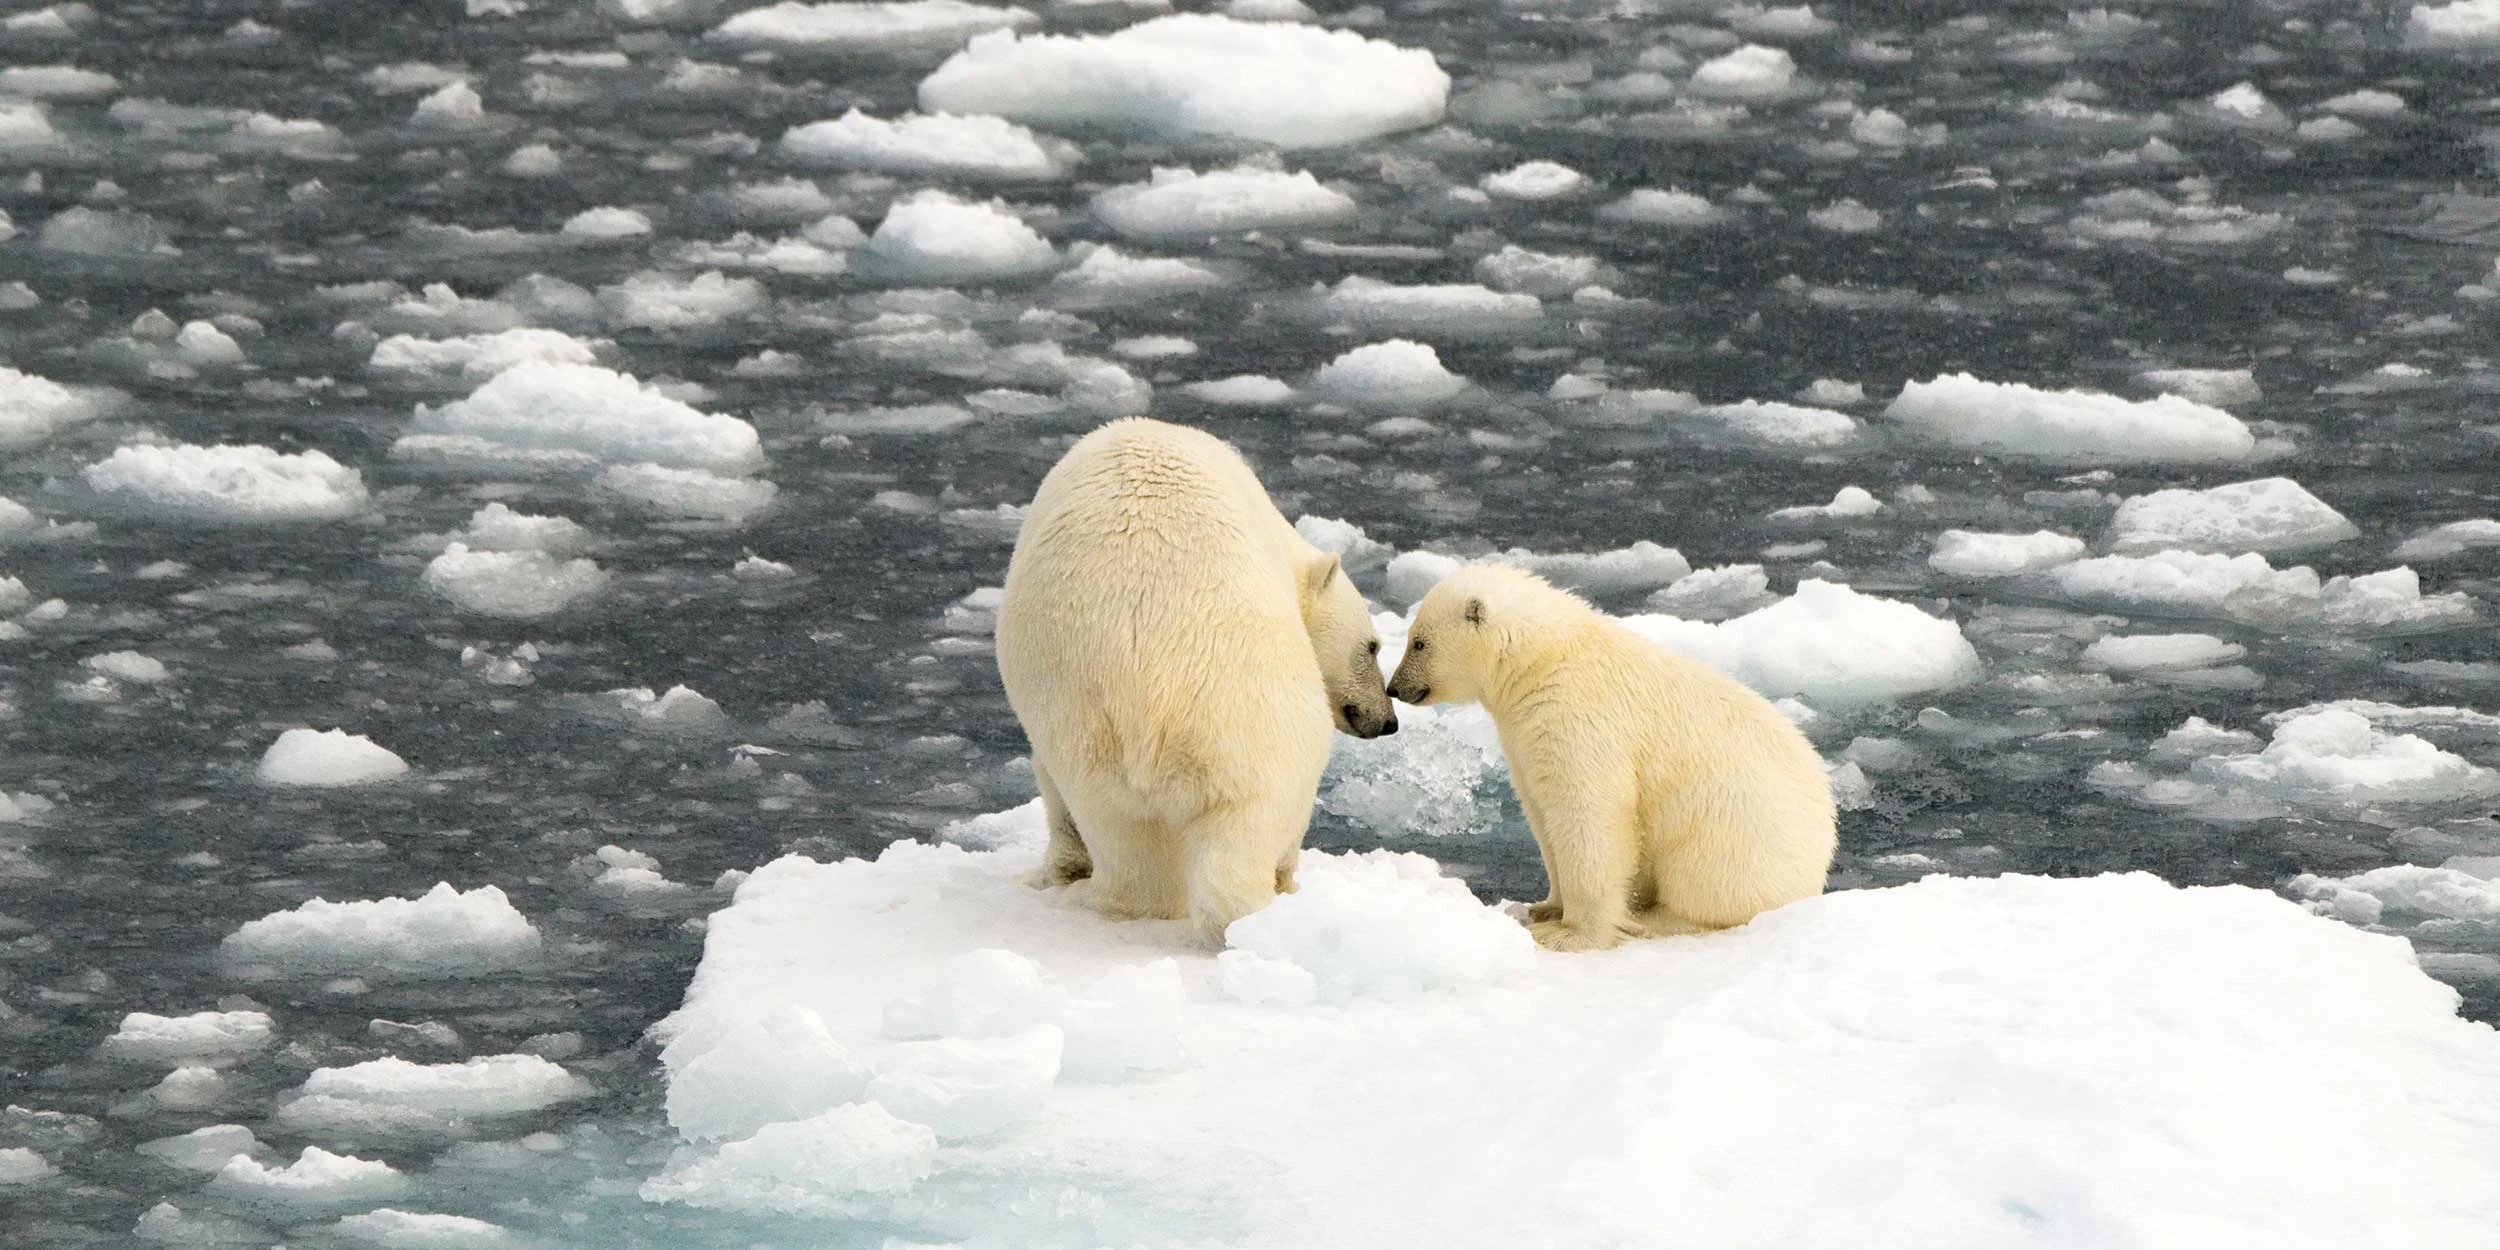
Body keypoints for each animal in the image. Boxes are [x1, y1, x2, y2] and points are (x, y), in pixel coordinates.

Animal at [990, 417, 1400, 940]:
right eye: (1372, 646)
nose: (1387, 720)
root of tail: (1148, 693)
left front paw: (1058, 869)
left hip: (1087, 730)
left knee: (1121, 833)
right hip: (1249, 716)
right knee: (1255, 817)